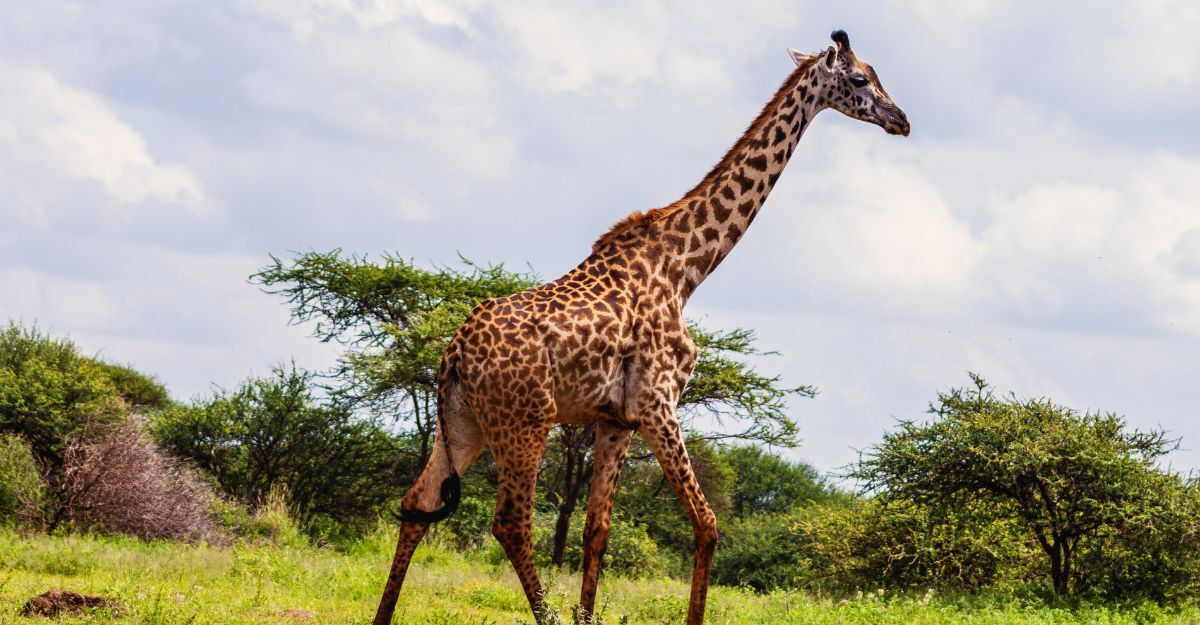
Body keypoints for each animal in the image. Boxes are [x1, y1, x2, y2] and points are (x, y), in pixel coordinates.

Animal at [373, 30, 908, 625]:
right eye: (860, 78)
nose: (902, 120)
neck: (685, 269)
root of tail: (454, 354)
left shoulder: (615, 420)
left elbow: (596, 530)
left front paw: (588, 615)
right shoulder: (658, 403)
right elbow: (707, 524)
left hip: (465, 423)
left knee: (418, 503)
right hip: (524, 421)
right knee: (510, 522)